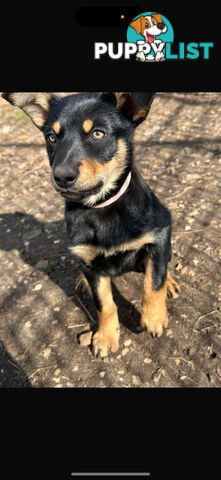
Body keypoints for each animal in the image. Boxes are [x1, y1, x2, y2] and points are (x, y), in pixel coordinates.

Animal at [2, 92, 180, 358]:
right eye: (52, 137)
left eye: (98, 133)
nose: (62, 177)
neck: (99, 207)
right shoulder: (89, 259)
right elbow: (104, 303)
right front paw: (105, 337)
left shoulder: (159, 233)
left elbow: (153, 282)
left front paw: (154, 318)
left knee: (160, 266)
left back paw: (169, 282)